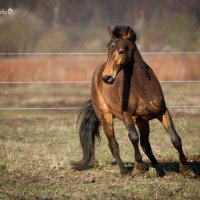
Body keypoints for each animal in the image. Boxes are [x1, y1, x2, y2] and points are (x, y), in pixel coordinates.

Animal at [71, 25, 192, 177]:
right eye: (107, 49)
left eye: (121, 50)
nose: (107, 77)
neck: (142, 88)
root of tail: (97, 74)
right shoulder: (128, 116)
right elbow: (133, 137)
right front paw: (139, 167)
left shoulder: (162, 112)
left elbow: (175, 139)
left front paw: (186, 169)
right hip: (106, 117)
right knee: (113, 144)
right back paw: (125, 172)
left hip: (143, 121)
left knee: (146, 144)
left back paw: (159, 170)